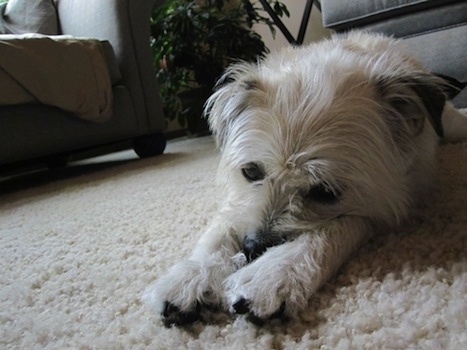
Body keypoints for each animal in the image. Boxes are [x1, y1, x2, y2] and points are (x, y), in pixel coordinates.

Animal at [143, 31, 467, 326]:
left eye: (326, 192)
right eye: (251, 172)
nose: (253, 247)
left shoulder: (384, 203)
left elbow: (334, 228)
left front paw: (274, 272)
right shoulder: (238, 200)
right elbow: (221, 228)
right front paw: (193, 275)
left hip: (450, 127)